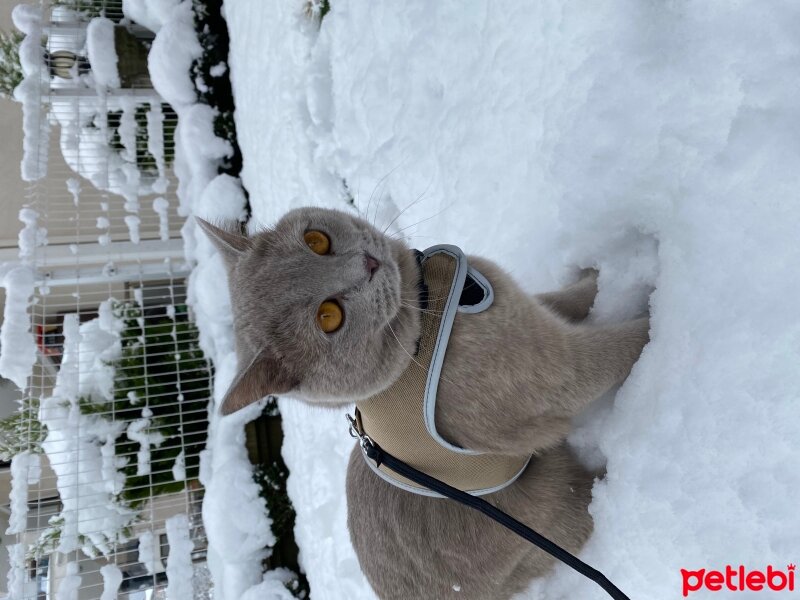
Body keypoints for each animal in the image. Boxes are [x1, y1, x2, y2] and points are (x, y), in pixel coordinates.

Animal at [195, 207, 648, 600]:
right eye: (329, 317)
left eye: (316, 240)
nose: (368, 263)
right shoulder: (551, 374)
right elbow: (615, 349)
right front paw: (657, 309)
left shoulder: (527, 312)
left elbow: (572, 298)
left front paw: (604, 272)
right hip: (554, 508)